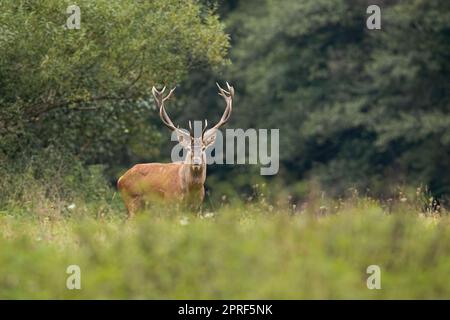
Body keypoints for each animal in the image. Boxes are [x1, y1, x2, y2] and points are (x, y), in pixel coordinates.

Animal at [116, 82, 236, 218]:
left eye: (204, 148)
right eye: (188, 148)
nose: (196, 162)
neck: (191, 190)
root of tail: (120, 179)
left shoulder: (197, 208)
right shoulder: (171, 203)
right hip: (132, 201)